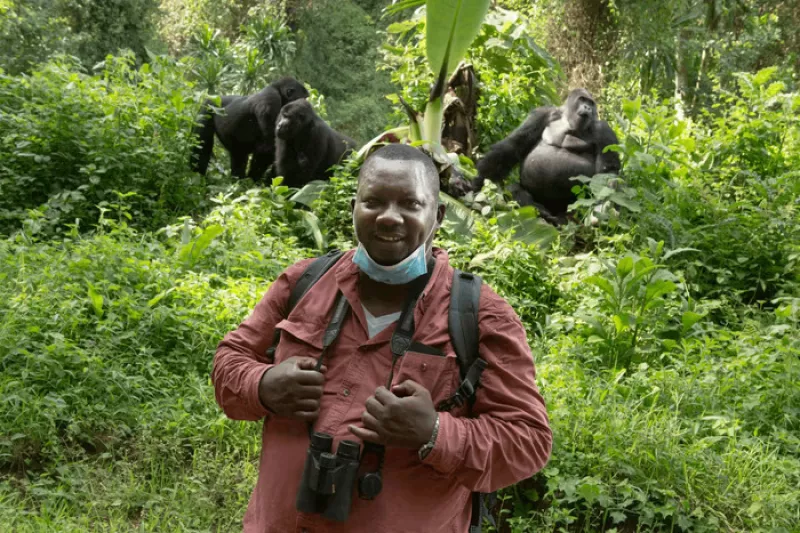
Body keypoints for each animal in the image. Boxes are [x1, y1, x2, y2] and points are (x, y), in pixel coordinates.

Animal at [472, 88, 620, 223]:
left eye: (591, 103)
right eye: (582, 99)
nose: (587, 107)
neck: (568, 121)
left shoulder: (604, 129)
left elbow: (608, 171)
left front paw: (603, 208)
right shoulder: (541, 114)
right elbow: (513, 145)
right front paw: (477, 181)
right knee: (512, 189)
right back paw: (539, 210)